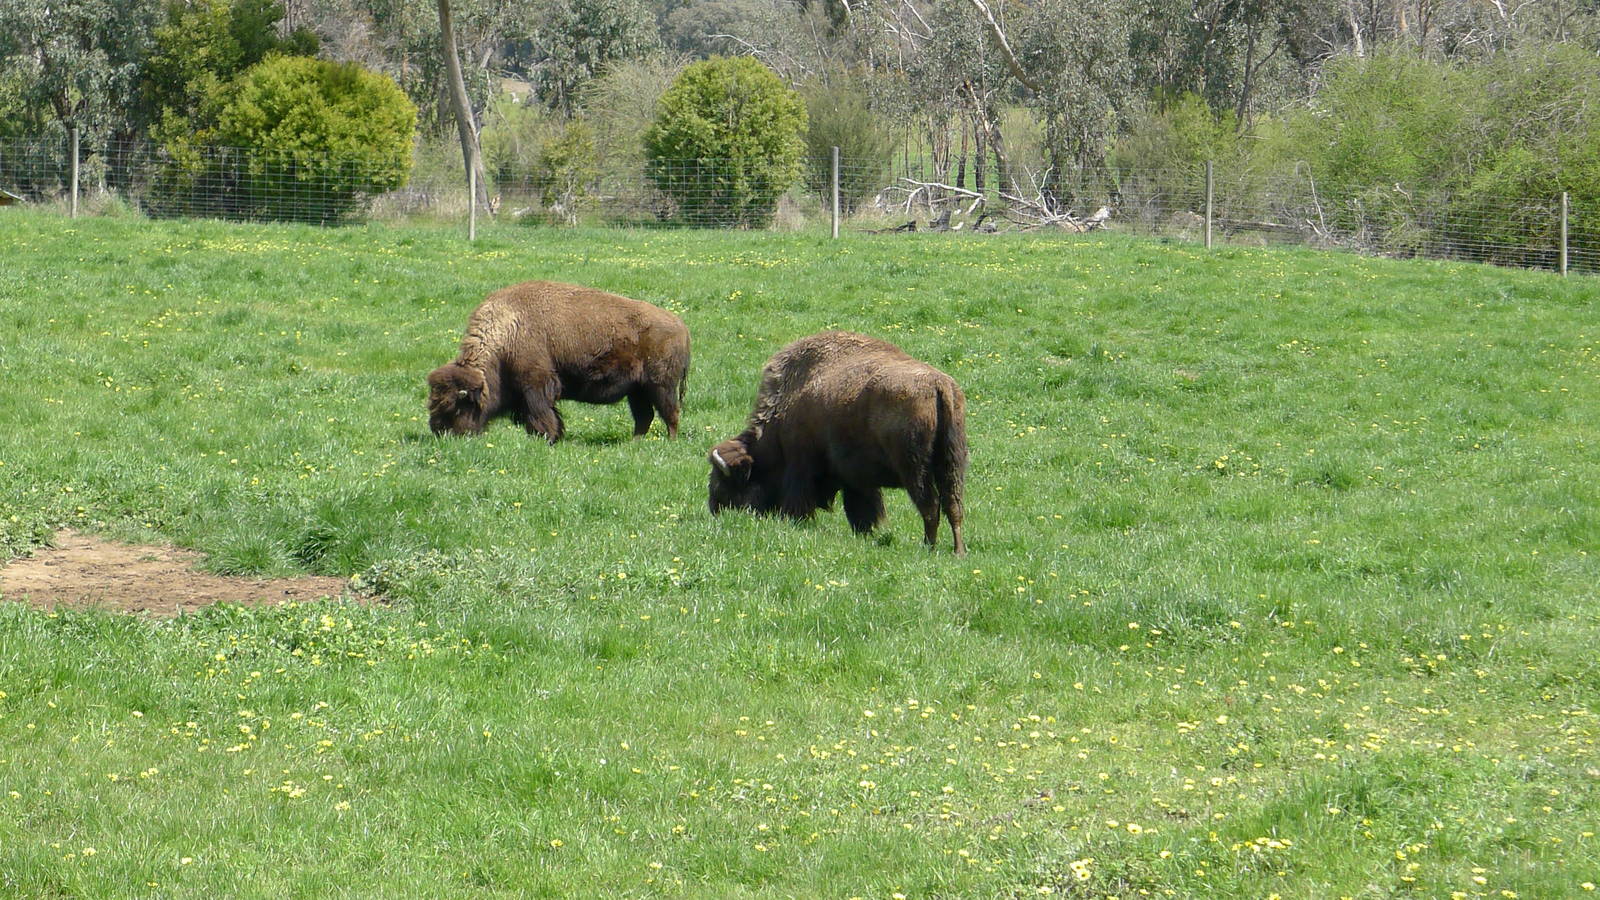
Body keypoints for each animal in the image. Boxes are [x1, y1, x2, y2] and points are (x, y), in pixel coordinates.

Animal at [427, 280, 690, 443]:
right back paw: (633, 444)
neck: (509, 330)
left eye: (455, 405)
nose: (440, 433)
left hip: (661, 386)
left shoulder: (536, 385)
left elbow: (541, 414)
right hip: (637, 391)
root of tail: (681, 326)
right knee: (645, 417)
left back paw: (669, 442)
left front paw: (546, 437)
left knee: (670, 413)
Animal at [708, 331, 968, 554]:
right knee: (953, 505)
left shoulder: (801, 467)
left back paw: (929, 547)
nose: (715, 510)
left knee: (930, 505)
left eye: (723, 482)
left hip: (914, 469)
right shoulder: (858, 481)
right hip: (952, 463)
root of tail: (938, 384)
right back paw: (957, 552)